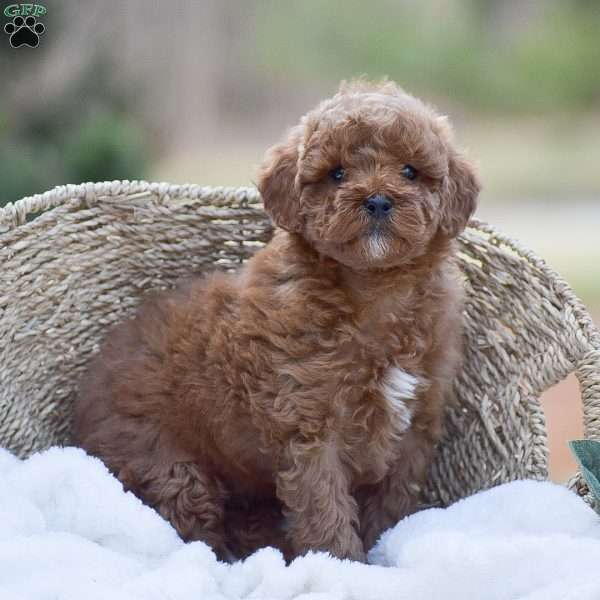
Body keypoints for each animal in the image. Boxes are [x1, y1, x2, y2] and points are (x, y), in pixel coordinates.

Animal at [74, 78, 478, 564]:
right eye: (337, 174)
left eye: (410, 172)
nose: (378, 200)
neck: (374, 290)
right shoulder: (309, 426)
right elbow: (325, 508)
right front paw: (343, 564)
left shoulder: (416, 427)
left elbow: (392, 500)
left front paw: (382, 547)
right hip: (162, 462)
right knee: (193, 526)